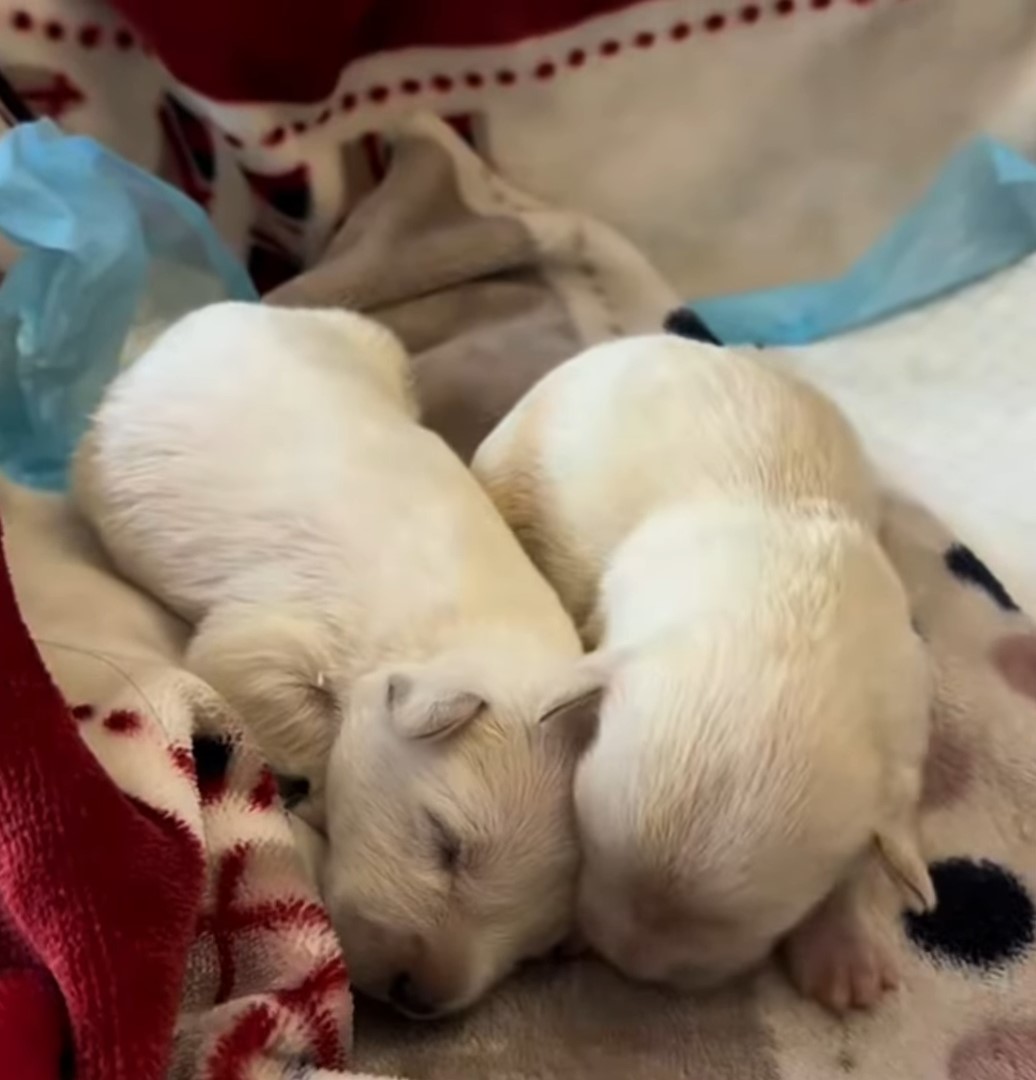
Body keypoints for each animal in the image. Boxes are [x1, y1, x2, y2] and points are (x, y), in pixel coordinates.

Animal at [70, 300, 592, 1015]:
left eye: (538, 949)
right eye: (447, 844)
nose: (419, 998)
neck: (475, 630)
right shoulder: (275, 636)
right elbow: (263, 684)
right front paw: (311, 792)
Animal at [473, 334, 937, 1010]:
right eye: (589, 851)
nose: (629, 967)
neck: (783, 621)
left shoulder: (901, 708)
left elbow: (876, 840)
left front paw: (843, 949)